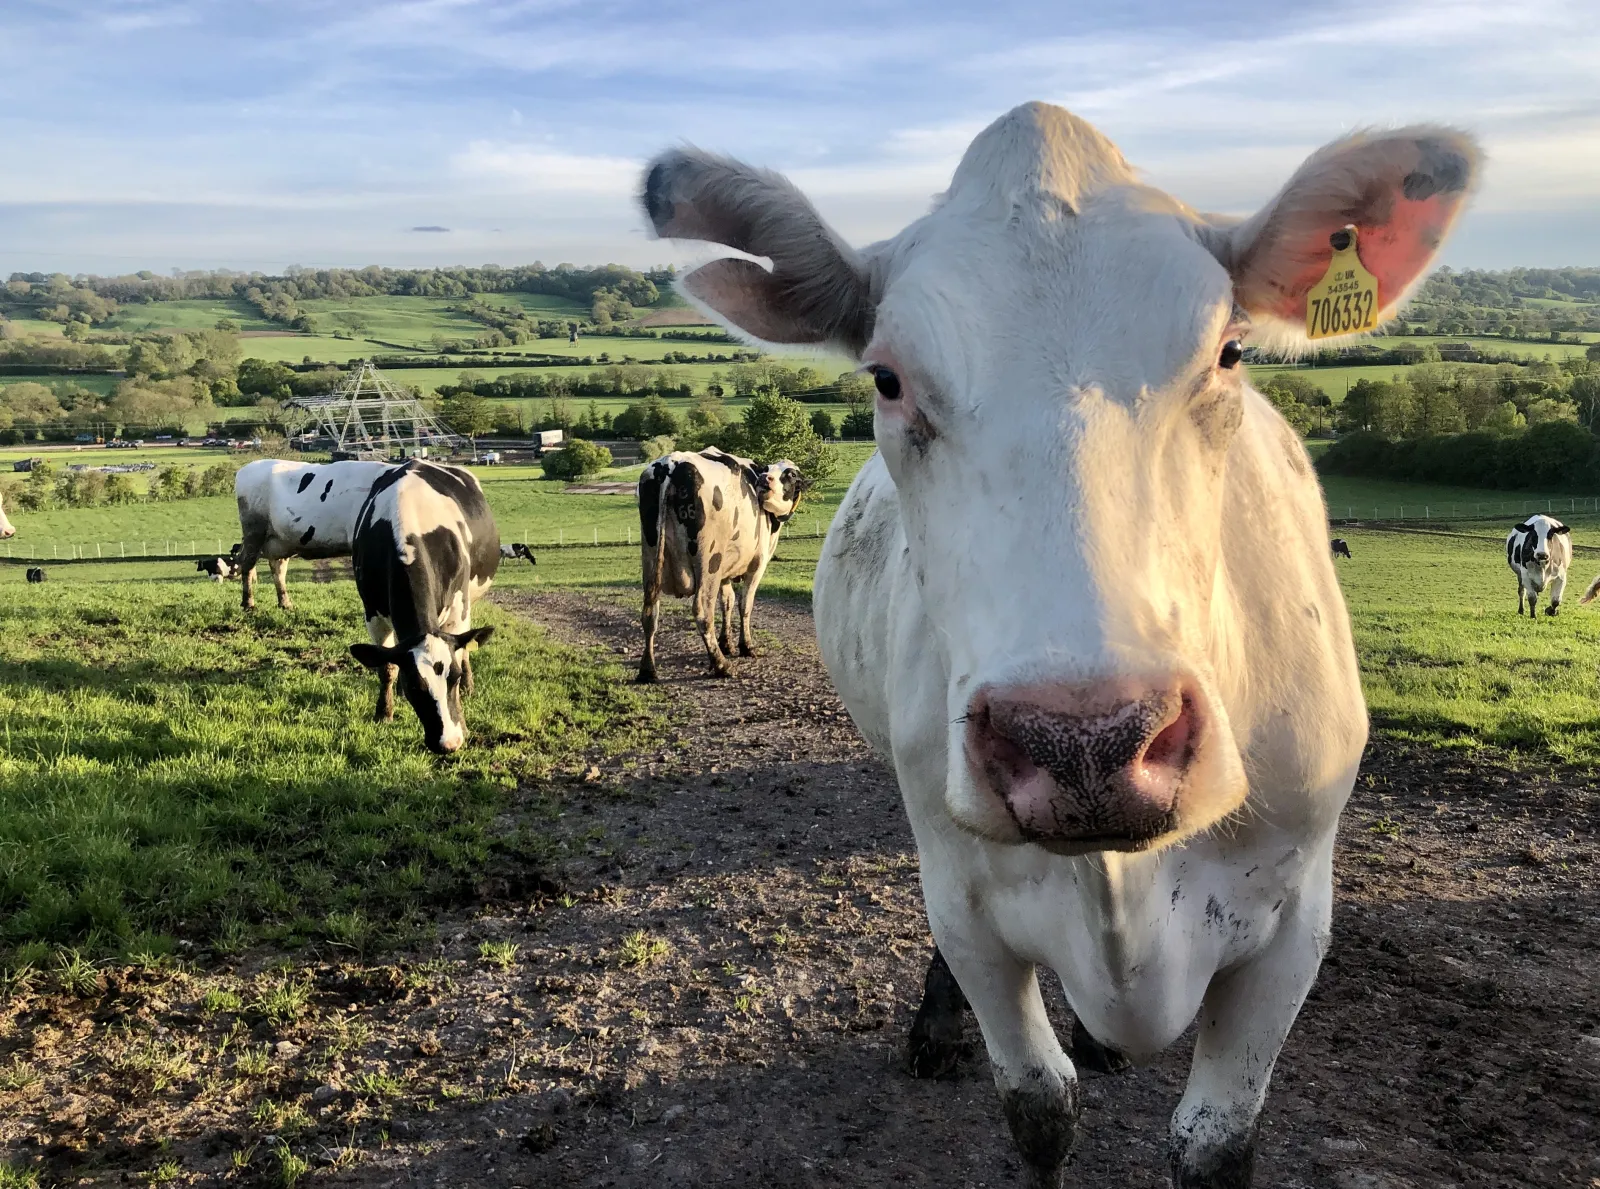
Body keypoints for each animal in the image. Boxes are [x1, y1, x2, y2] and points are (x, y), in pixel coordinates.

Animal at [234, 459, 392, 611]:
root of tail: (246, 468)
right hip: (254, 531)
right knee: (248, 563)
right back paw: (248, 604)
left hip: (281, 540)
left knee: (277, 568)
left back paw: (285, 604)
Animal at [346, 460, 499, 754]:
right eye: (415, 687)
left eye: (454, 678)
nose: (448, 743)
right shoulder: (373, 613)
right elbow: (387, 666)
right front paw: (384, 712)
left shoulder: (457, 610)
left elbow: (461, 650)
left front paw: (463, 715)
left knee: (467, 645)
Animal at [635, 446, 807, 682]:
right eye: (769, 469)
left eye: (789, 474)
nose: (765, 478)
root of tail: (672, 463)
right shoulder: (757, 564)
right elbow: (745, 603)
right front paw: (746, 646)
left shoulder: (725, 570)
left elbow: (727, 601)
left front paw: (727, 644)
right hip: (709, 561)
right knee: (702, 610)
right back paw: (721, 665)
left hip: (651, 557)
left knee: (650, 611)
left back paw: (647, 669)